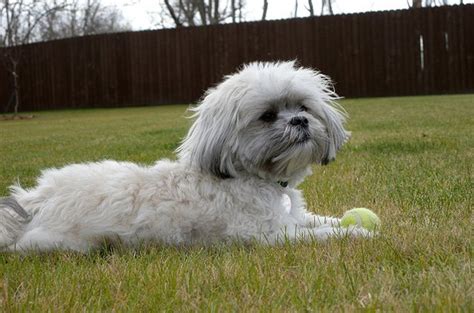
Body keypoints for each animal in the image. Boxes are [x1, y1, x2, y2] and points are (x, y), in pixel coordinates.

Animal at [0, 60, 370, 251]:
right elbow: (318, 235)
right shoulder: (264, 235)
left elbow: (320, 220)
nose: (300, 121)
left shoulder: (291, 218)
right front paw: (357, 233)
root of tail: (33, 201)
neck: (255, 178)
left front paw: (347, 221)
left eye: (303, 107)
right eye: (267, 116)